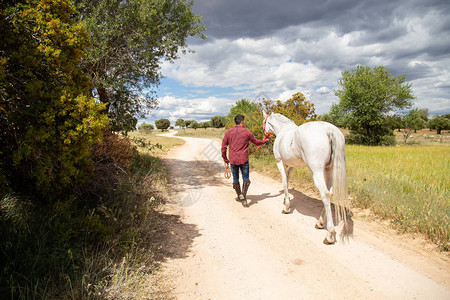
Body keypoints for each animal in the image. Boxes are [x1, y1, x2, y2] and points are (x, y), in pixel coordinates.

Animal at [264, 112, 348, 244]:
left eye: (264, 122)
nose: (265, 136)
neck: (283, 130)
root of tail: (329, 129)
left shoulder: (280, 162)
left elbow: (284, 181)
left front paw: (286, 207)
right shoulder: (293, 165)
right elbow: (287, 179)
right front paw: (285, 200)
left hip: (317, 171)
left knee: (325, 194)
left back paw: (329, 234)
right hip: (329, 170)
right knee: (329, 193)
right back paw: (320, 223)